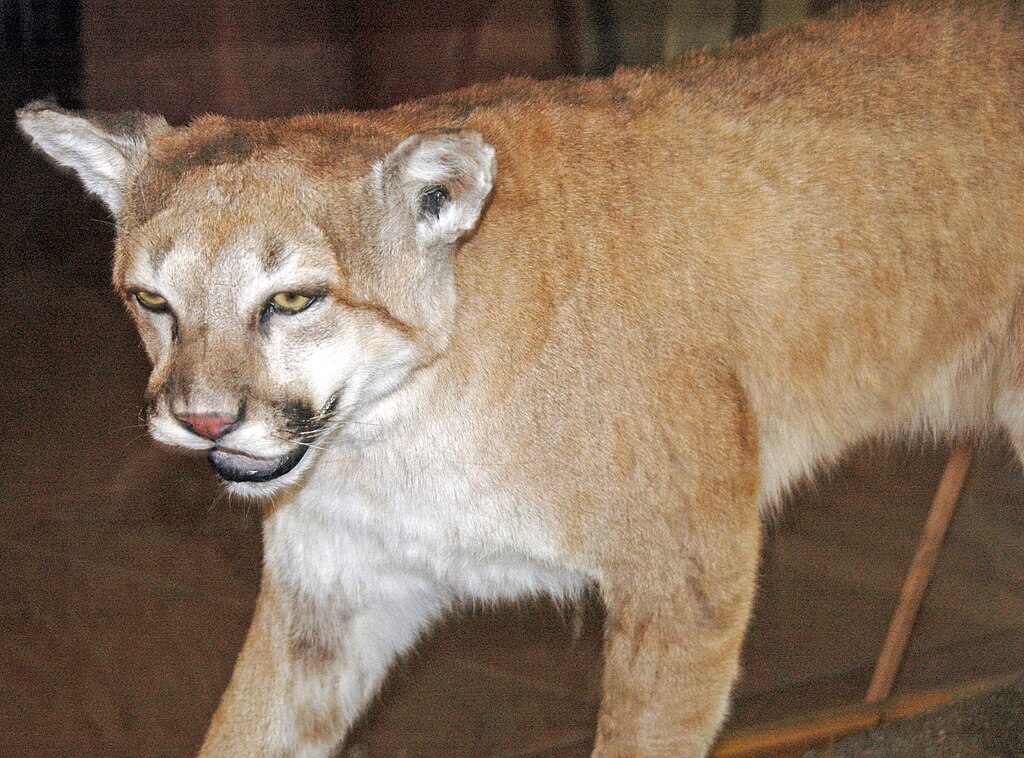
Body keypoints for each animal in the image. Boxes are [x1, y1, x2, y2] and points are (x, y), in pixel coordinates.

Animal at [17, 3, 1024, 755]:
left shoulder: (688, 575)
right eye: (152, 299)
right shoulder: (333, 592)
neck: (398, 434)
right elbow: (246, 732)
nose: (202, 420)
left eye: (295, 299)